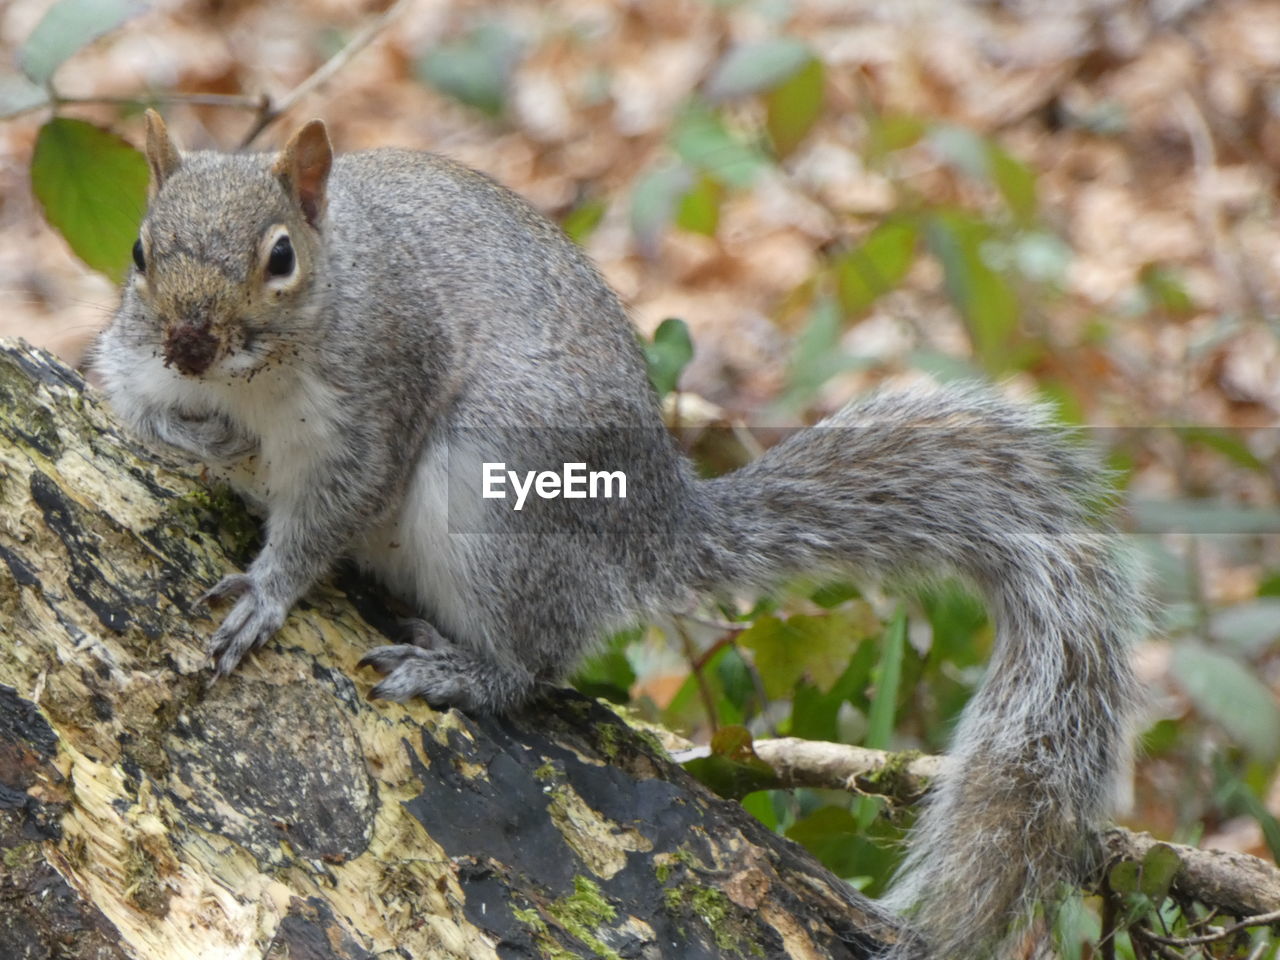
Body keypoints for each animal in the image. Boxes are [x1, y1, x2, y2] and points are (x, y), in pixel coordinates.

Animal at [94, 114, 1146, 960]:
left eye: (280, 258)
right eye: (139, 252)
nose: (190, 341)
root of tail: (651, 524)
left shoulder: (376, 402)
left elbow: (329, 513)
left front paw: (266, 592)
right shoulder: (132, 360)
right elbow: (138, 410)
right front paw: (207, 441)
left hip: (498, 497)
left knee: (537, 661)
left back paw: (461, 671)